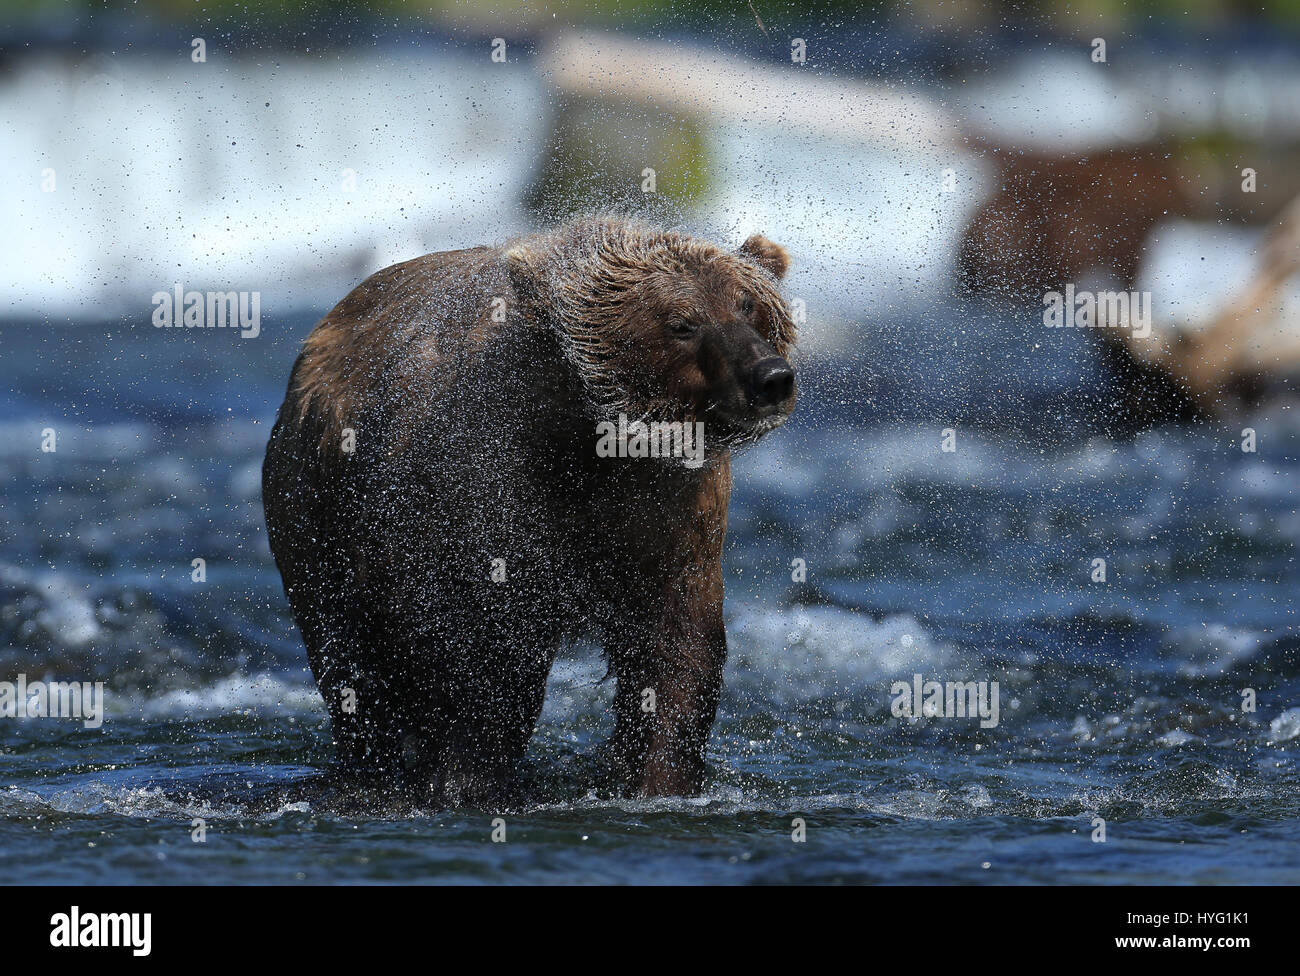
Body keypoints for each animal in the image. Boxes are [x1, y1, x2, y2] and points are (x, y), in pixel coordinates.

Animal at [260, 217, 795, 805]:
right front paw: (468, 777)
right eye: (681, 322)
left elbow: (676, 648)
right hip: (315, 511)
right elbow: (487, 658)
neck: (592, 445)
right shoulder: (489, 498)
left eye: (747, 305)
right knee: (349, 663)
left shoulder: (672, 511)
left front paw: (657, 779)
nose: (770, 377)